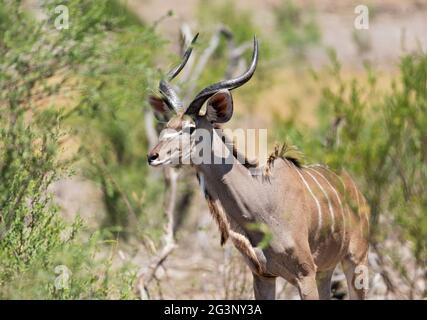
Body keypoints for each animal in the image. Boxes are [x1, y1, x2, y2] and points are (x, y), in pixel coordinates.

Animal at [148, 35, 372, 300]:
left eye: (190, 127)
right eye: (167, 124)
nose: (153, 156)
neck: (262, 204)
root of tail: (355, 190)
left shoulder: (304, 274)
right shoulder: (263, 275)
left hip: (355, 261)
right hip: (325, 271)